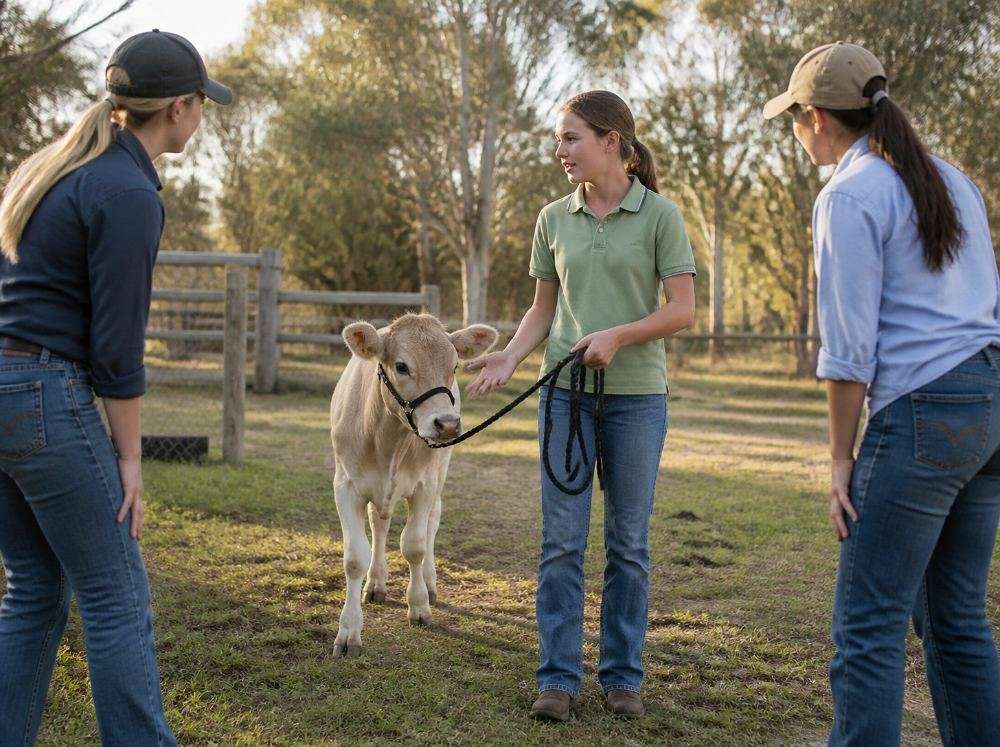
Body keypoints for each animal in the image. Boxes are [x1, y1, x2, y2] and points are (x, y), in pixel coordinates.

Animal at [330, 313, 498, 657]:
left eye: (455, 366)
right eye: (402, 366)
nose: (447, 424)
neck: (386, 438)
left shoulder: (424, 486)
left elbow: (415, 546)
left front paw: (419, 605)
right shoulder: (346, 486)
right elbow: (354, 558)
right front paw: (349, 630)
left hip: (441, 471)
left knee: (432, 522)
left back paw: (429, 584)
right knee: (379, 523)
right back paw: (376, 583)